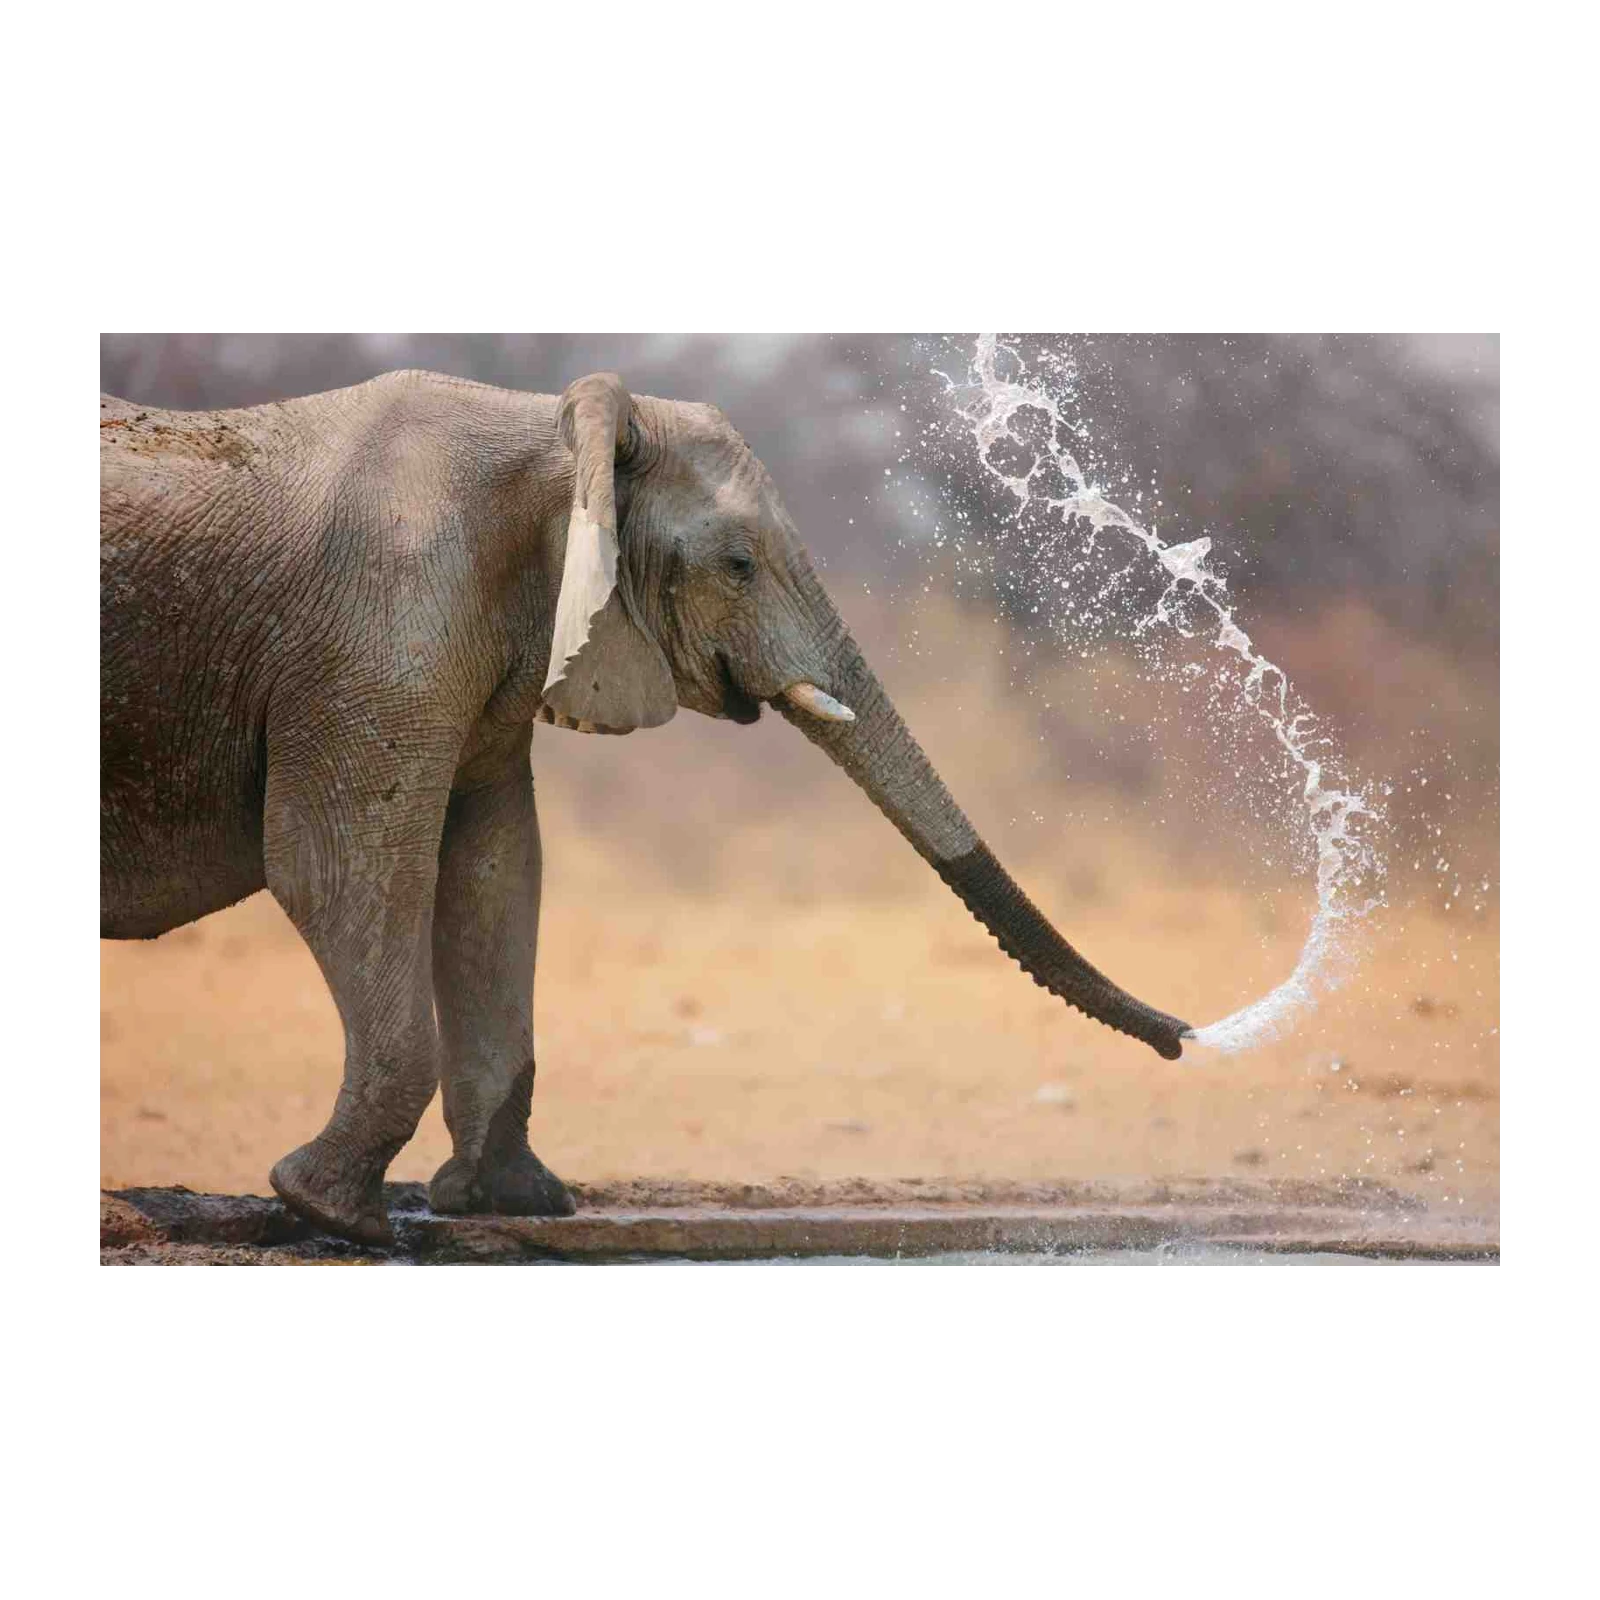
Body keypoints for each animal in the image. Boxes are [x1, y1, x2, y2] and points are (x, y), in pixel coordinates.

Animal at [96, 368, 1193, 1245]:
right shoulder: (379, 635)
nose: (1186, 1038)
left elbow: (495, 868)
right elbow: (340, 869)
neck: (556, 426)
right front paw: (333, 1215)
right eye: (738, 565)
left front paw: (519, 1204)